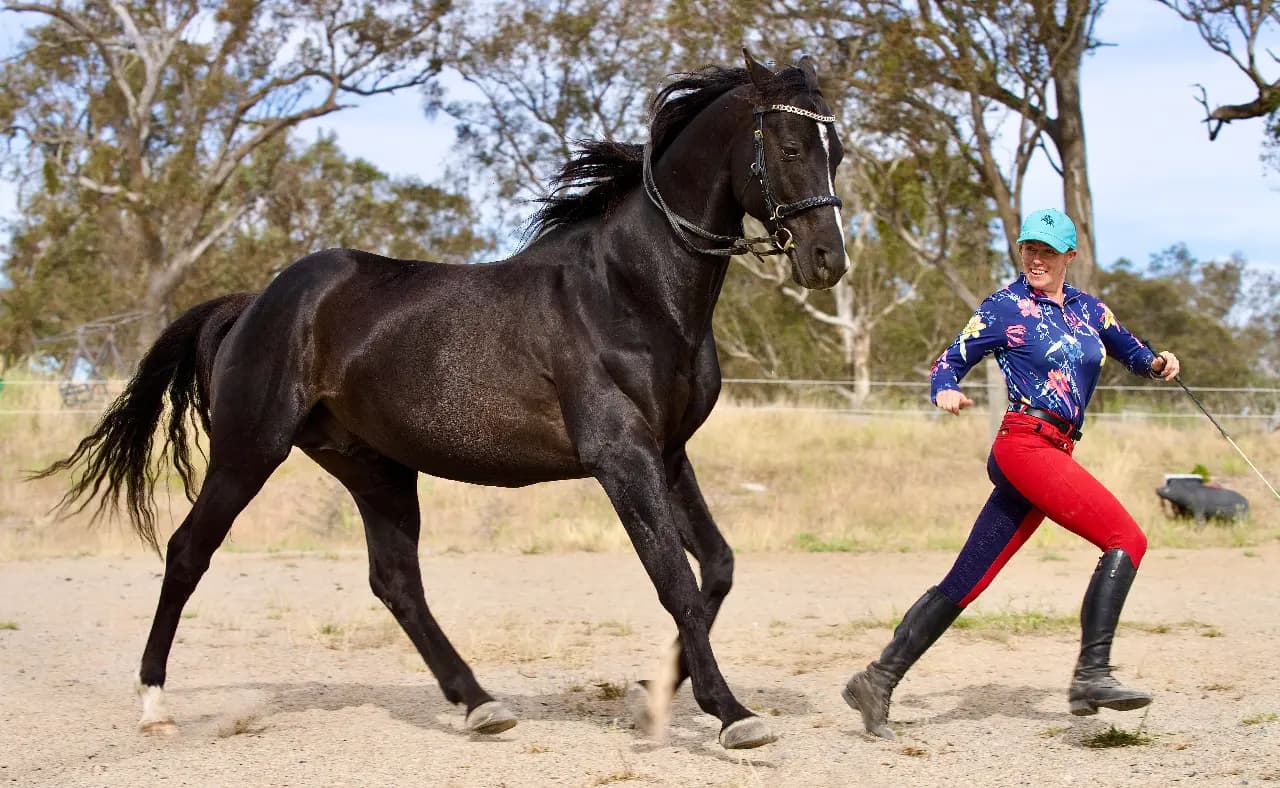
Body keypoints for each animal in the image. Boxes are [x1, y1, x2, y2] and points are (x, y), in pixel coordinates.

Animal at [38, 50, 847, 750]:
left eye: (834, 149)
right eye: (788, 145)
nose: (826, 260)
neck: (631, 290)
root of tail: (255, 304)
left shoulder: (669, 453)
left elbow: (716, 569)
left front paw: (657, 695)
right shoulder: (622, 456)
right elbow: (675, 580)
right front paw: (732, 715)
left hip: (376, 469)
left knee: (396, 583)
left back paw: (480, 704)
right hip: (249, 453)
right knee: (186, 553)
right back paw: (154, 706)